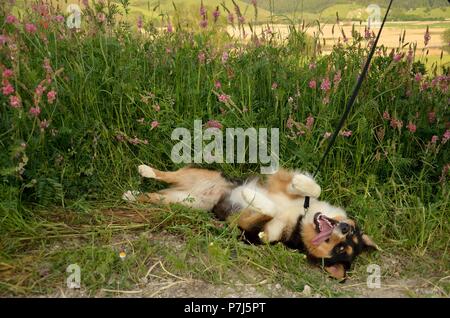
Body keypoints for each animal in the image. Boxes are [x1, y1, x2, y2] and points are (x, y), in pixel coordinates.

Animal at [121, 165, 378, 280]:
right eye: (350, 234)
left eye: (341, 249)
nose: (344, 227)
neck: (300, 220)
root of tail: (202, 193)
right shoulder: (280, 186)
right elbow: (313, 188)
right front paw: (300, 182)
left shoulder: (254, 231)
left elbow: (267, 212)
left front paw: (249, 196)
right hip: (197, 175)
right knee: (168, 174)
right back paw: (146, 172)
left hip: (180, 202)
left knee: (152, 197)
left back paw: (133, 195)